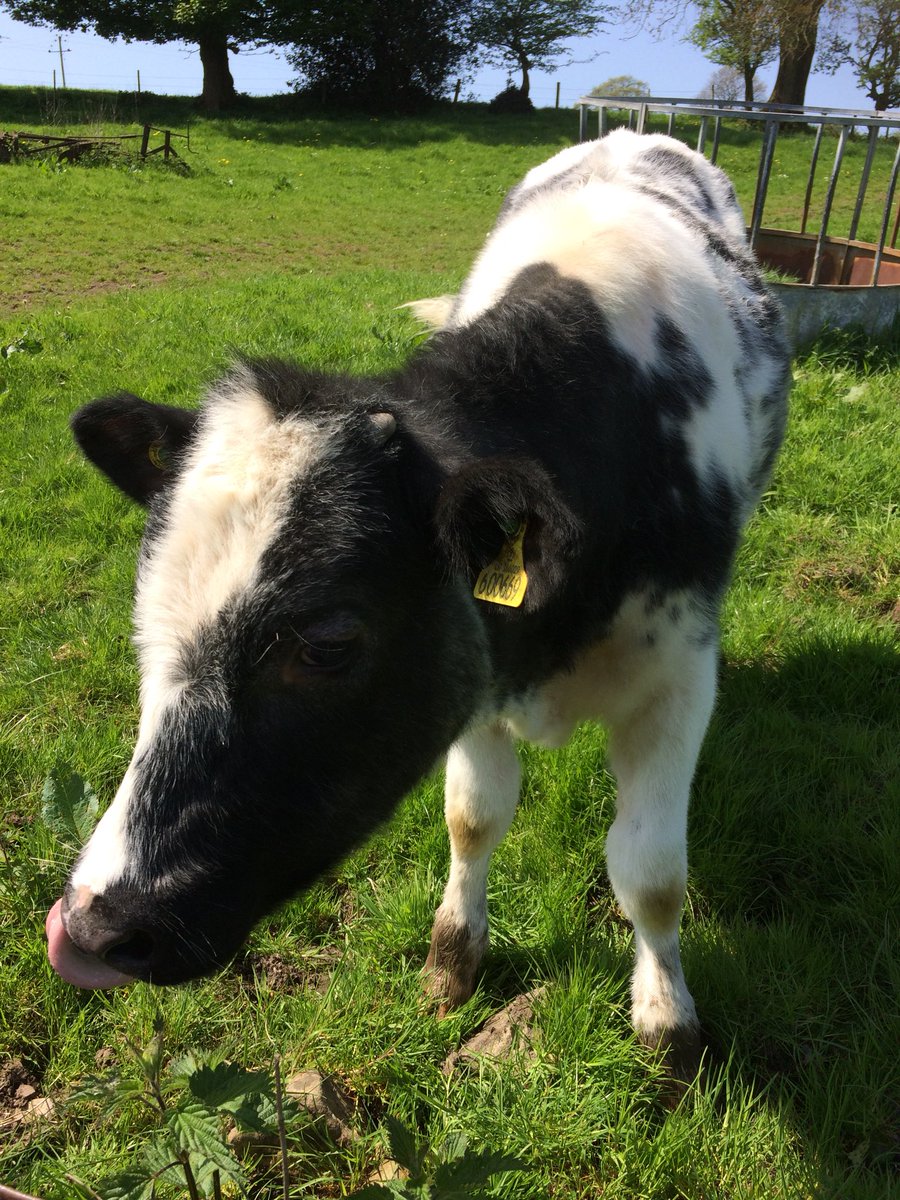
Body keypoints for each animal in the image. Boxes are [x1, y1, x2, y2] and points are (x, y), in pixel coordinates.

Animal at [47, 126, 787, 1056]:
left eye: (329, 644)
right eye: (145, 619)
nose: (94, 926)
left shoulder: (678, 678)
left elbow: (650, 871)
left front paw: (667, 1022)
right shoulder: (475, 665)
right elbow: (473, 816)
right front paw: (451, 958)